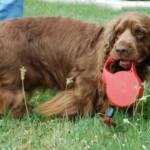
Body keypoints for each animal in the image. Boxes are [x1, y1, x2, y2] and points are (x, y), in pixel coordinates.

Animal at [0, 12, 149, 118]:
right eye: (118, 32)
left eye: (140, 32)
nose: (120, 49)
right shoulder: (85, 80)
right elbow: (79, 100)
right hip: (14, 78)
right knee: (13, 97)